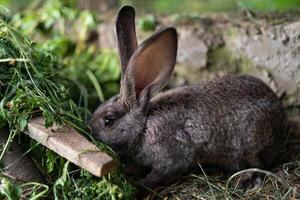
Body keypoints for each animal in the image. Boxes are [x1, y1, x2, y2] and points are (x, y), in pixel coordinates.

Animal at [88, 5, 286, 189]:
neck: (142, 126)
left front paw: (140, 184)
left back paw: (247, 177)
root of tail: (280, 114)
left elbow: (160, 174)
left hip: (251, 145)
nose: (90, 130)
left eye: (108, 121)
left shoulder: (170, 158)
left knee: (262, 164)